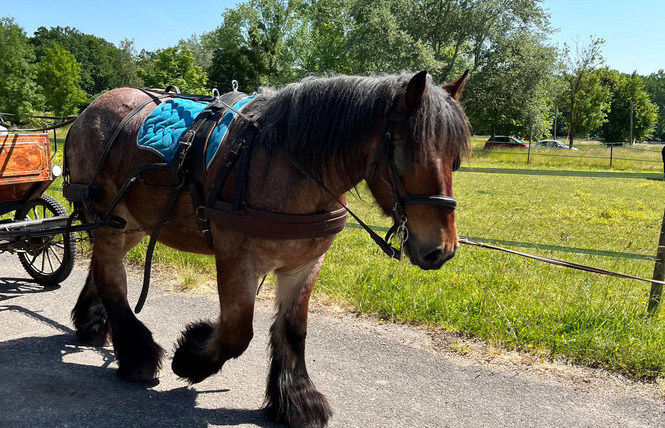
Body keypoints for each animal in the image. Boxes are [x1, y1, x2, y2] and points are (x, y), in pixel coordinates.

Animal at [62, 72, 470, 426]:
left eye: (455, 160)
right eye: (406, 154)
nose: (443, 250)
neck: (283, 166)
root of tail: (89, 110)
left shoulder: (305, 264)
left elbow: (294, 330)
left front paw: (297, 401)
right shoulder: (236, 261)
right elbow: (237, 332)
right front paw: (190, 358)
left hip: (130, 223)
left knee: (102, 267)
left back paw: (93, 324)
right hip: (110, 220)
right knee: (111, 278)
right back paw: (137, 356)